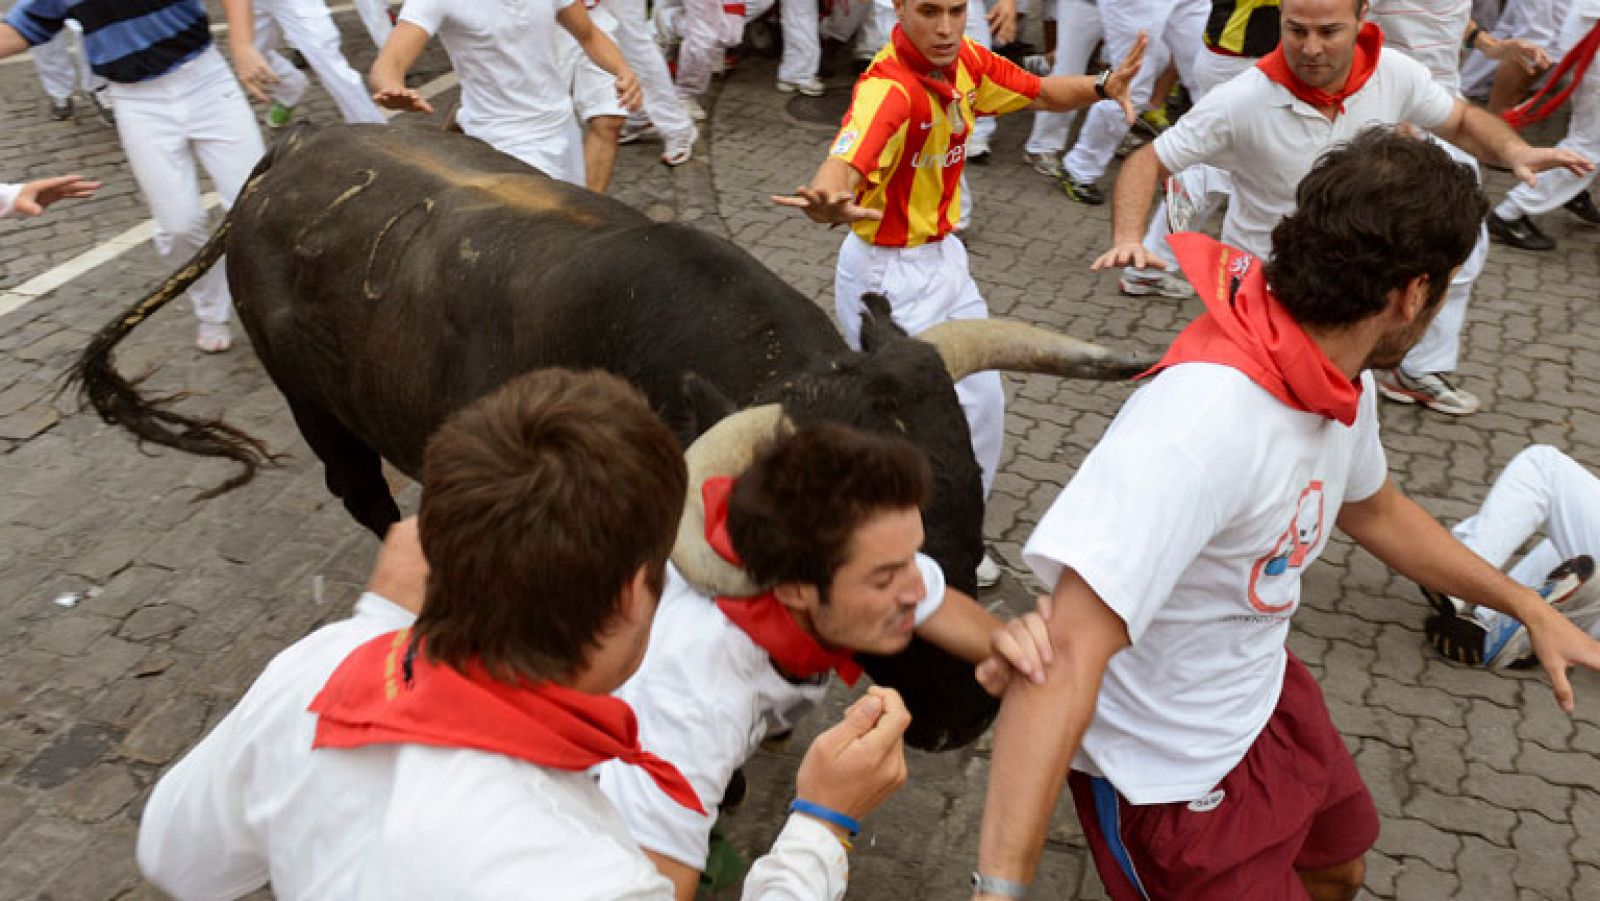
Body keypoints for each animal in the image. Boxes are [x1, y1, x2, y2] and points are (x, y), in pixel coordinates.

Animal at [75, 123, 1158, 752]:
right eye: (849, 566)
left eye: (972, 510)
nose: (966, 717)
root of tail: (288, 153)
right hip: (318, 408)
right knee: (361, 492)